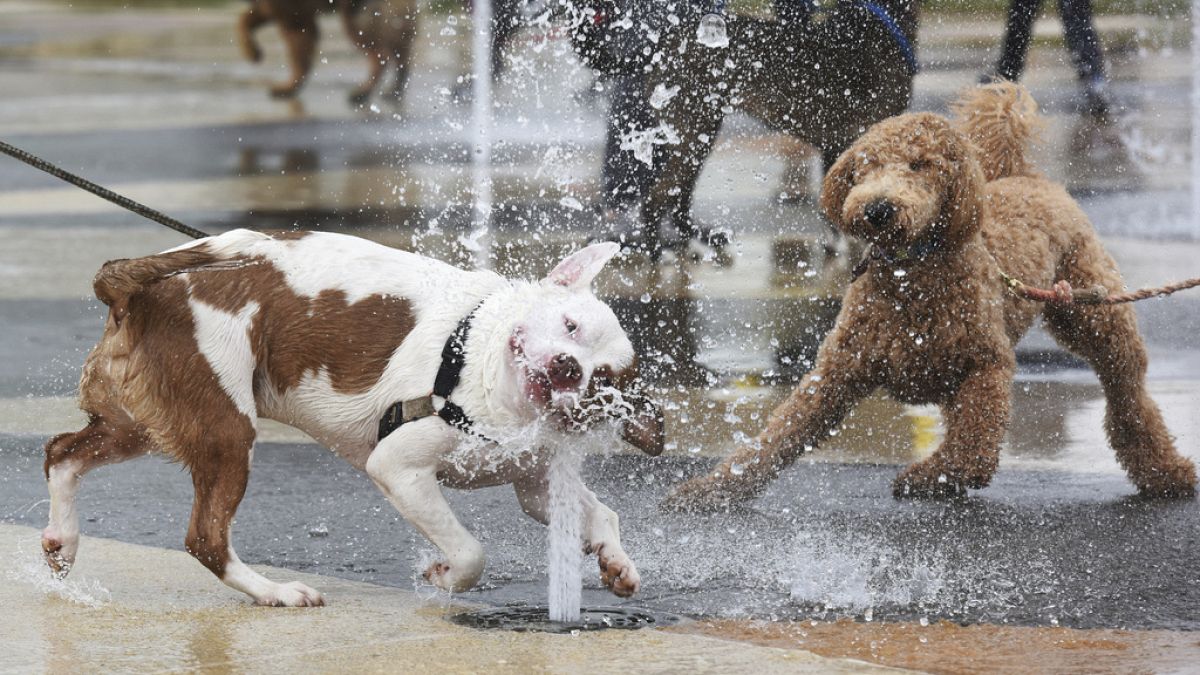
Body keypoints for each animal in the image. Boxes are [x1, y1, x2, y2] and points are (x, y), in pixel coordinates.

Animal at [42, 229, 662, 605]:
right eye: (569, 325)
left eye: (604, 383)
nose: (566, 366)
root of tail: (131, 285)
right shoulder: (399, 468)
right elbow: (470, 551)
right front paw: (441, 577)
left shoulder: (535, 482)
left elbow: (602, 515)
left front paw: (617, 564)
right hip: (226, 429)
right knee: (205, 538)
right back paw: (275, 592)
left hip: (145, 422)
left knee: (61, 453)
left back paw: (62, 541)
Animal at [667, 82, 1200, 504]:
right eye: (865, 165)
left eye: (921, 164)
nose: (878, 208)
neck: (911, 276)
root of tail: (1028, 176)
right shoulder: (837, 371)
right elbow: (780, 434)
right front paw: (715, 488)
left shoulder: (987, 365)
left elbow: (973, 449)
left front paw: (932, 476)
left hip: (1096, 314)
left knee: (1128, 396)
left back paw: (1165, 471)